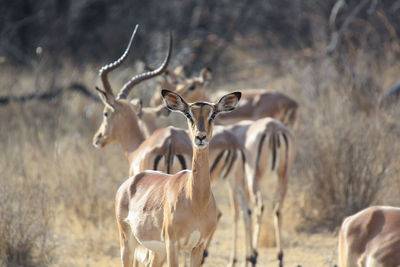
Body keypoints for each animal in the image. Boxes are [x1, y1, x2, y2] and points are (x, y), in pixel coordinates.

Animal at [114, 89, 242, 266]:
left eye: (213, 114)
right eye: (188, 114)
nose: (200, 137)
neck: (196, 201)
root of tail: (128, 184)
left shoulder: (198, 247)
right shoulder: (172, 244)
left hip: (157, 251)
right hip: (127, 244)